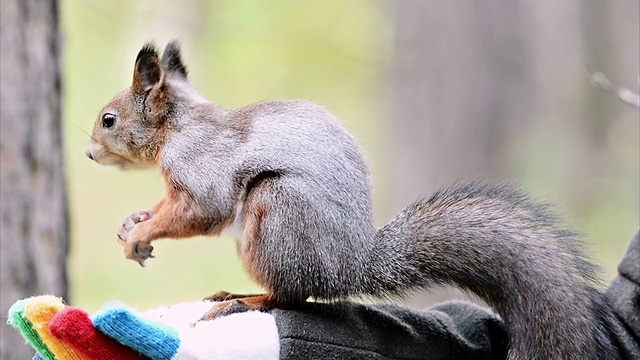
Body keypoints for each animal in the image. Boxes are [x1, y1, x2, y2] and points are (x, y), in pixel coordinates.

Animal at [86, 40, 620, 358]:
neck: (179, 126)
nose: (89, 154)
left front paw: (141, 231)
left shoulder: (200, 167)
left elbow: (201, 209)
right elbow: (167, 207)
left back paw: (244, 299)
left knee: (289, 294)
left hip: (277, 216)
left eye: (108, 119)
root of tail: (351, 264)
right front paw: (134, 221)